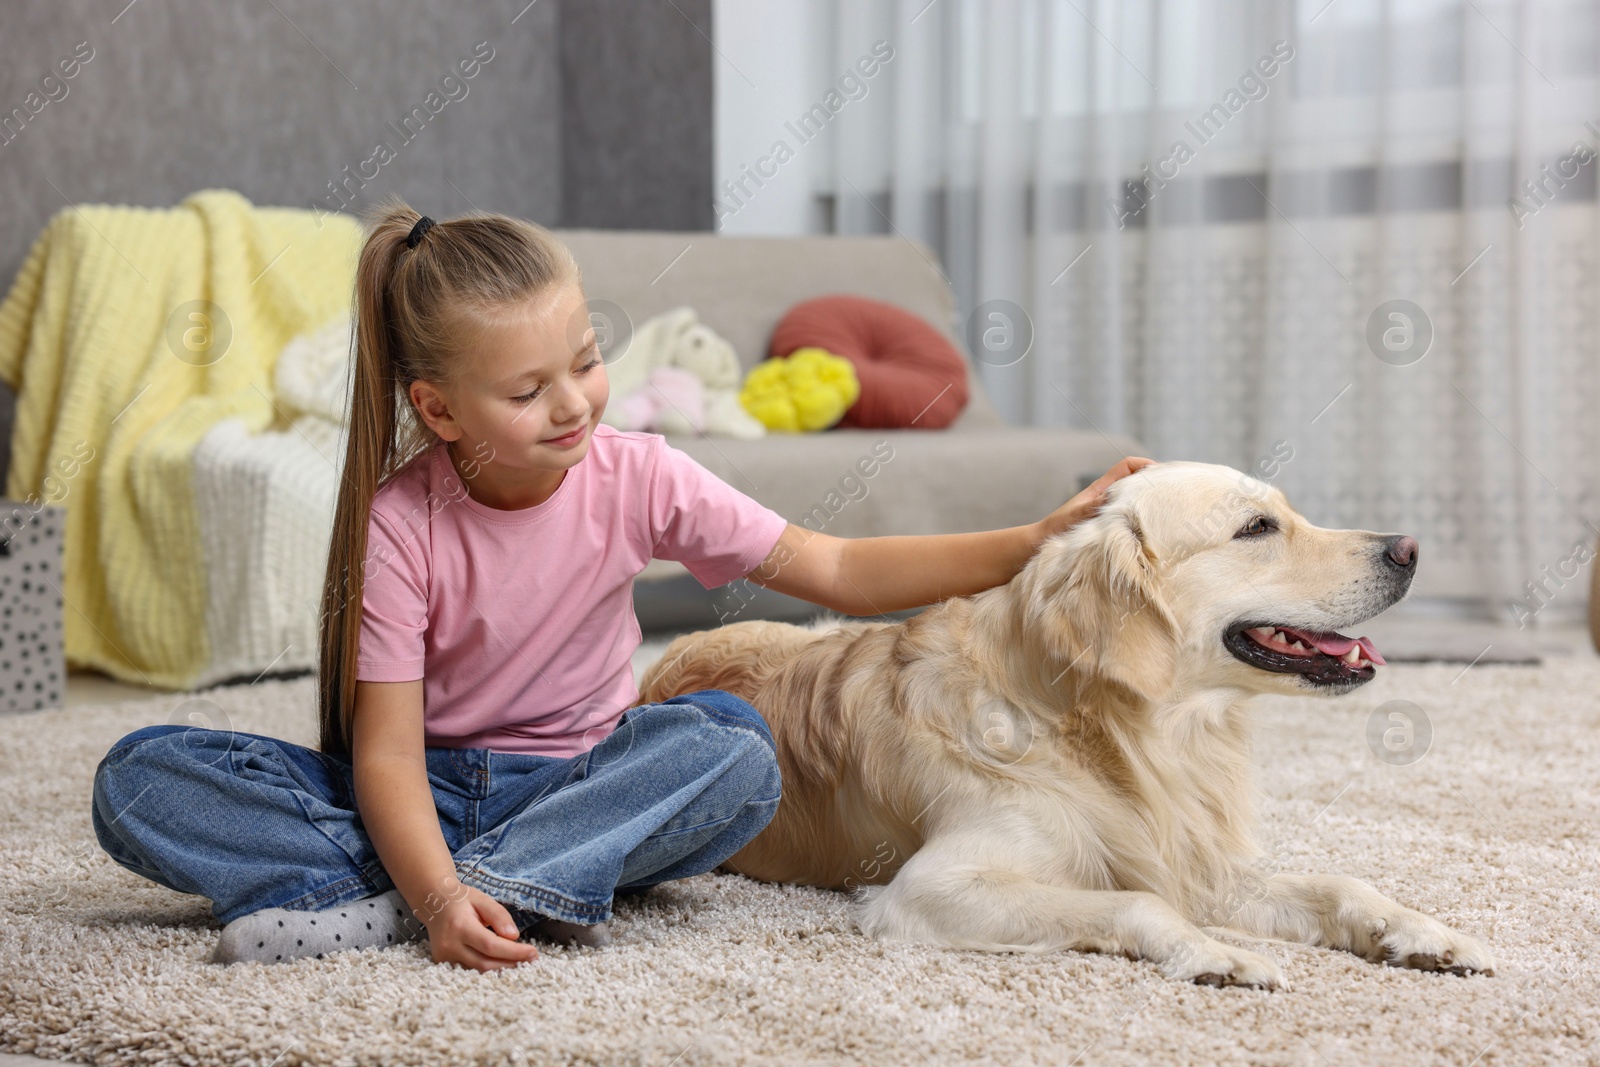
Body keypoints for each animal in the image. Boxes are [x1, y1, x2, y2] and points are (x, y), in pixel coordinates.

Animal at [640, 463, 1497, 991]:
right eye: (1257, 528)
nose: (1409, 547)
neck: (1123, 736)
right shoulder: (930, 888)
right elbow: (1136, 902)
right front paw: (1217, 952)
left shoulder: (1195, 857)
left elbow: (1339, 883)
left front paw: (1422, 932)